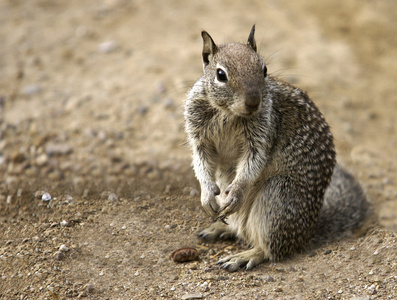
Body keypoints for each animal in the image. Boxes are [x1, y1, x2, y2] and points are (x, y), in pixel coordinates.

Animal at [184, 25, 370, 272]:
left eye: (264, 69)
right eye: (221, 75)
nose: (254, 101)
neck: (228, 113)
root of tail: (308, 230)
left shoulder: (263, 134)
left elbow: (253, 164)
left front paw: (236, 194)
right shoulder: (199, 137)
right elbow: (201, 162)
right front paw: (206, 195)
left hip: (277, 198)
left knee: (271, 249)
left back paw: (244, 255)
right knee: (241, 230)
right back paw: (220, 228)